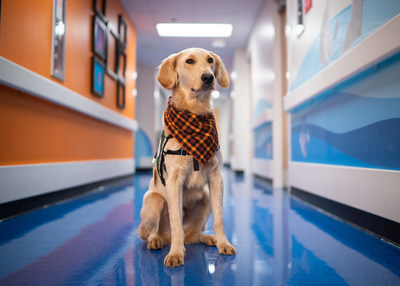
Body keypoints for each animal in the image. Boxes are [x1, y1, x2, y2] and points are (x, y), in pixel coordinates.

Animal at [138, 48, 236, 268]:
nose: (208, 77)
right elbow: (176, 221)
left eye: (210, 60)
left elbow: (220, 218)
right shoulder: (174, 181)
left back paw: (208, 238)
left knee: (193, 235)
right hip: (154, 200)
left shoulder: (216, 177)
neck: (194, 116)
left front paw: (223, 243)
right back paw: (156, 240)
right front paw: (175, 253)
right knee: (153, 232)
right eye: (189, 61)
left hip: (205, 198)